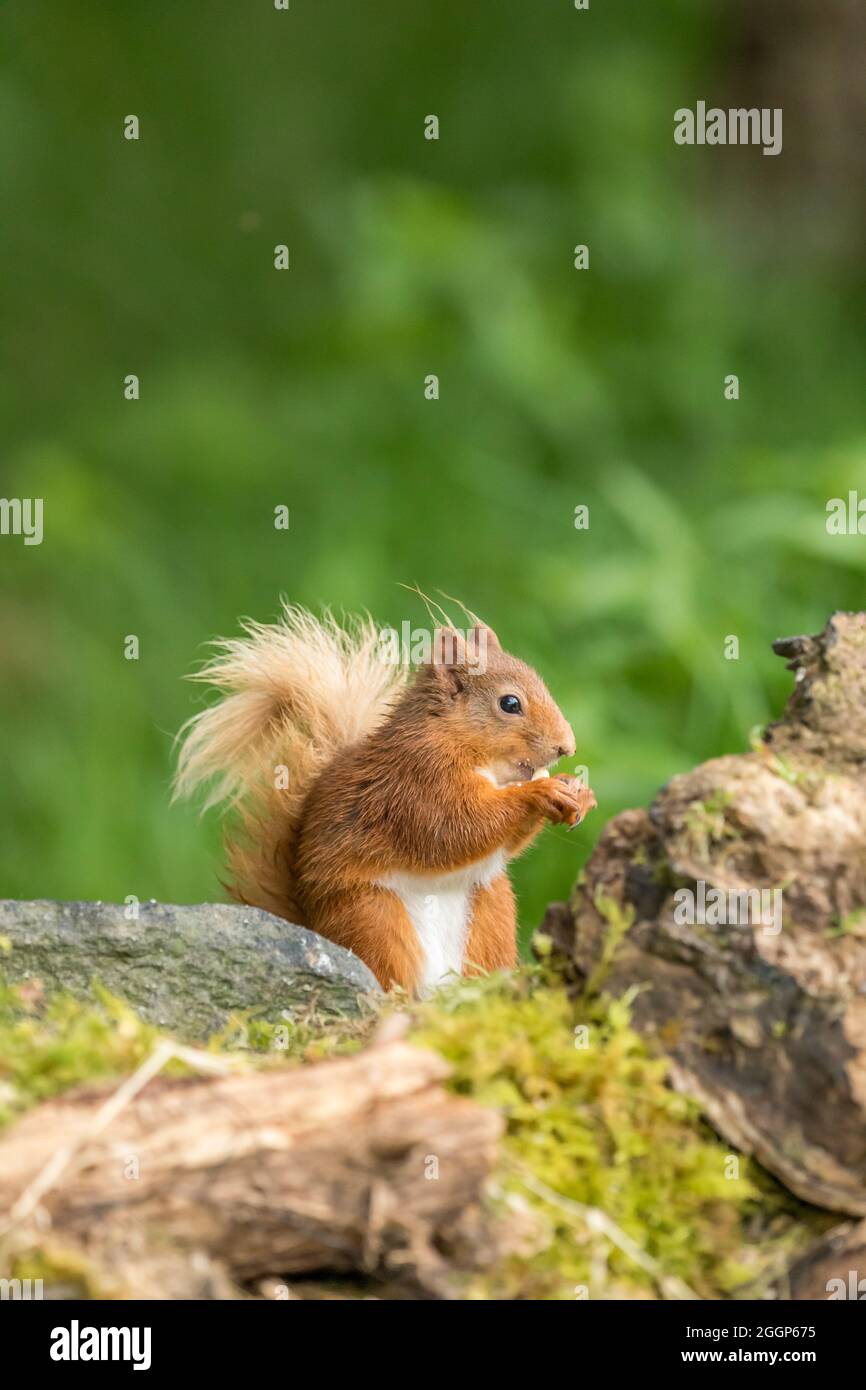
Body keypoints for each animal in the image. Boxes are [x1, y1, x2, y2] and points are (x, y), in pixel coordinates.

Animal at [176, 603, 594, 995]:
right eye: (510, 703)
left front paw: (579, 792)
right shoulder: (415, 782)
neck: (458, 741)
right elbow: (456, 829)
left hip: (491, 913)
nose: (567, 747)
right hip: (372, 918)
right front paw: (542, 792)